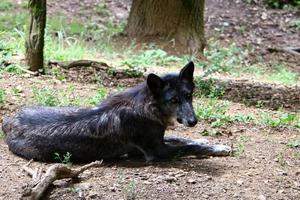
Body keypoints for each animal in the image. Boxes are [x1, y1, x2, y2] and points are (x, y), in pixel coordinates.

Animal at [1, 62, 230, 162]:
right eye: (173, 100)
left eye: (189, 95)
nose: (193, 121)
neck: (146, 106)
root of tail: (8, 120)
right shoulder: (156, 152)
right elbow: (187, 147)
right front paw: (214, 148)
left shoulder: (160, 140)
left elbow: (185, 140)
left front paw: (214, 143)